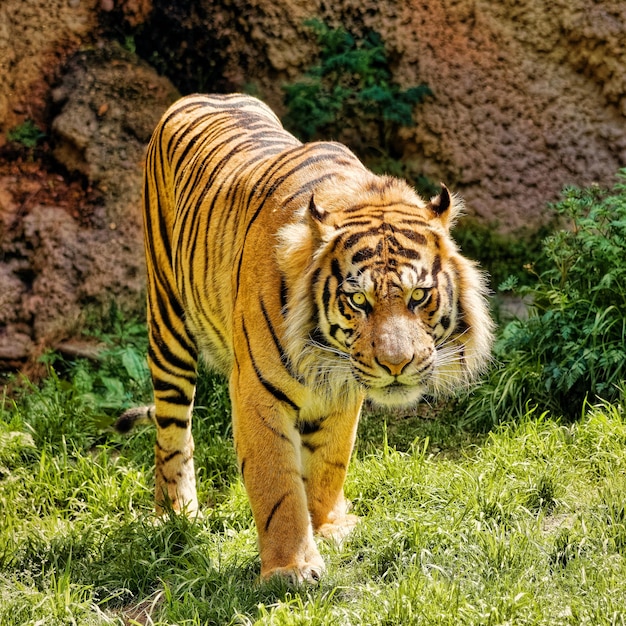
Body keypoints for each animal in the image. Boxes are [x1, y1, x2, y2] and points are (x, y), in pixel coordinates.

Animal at [117, 92, 494, 580]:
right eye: (359, 301)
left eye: (418, 296)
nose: (397, 365)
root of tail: (205, 94)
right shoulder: (256, 392)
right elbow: (276, 482)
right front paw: (291, 567)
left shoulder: (342, 389)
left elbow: (329, 462)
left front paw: (327, 525)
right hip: (167, 319)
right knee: (171, 428)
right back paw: (175, 514)